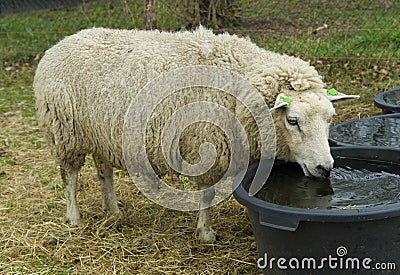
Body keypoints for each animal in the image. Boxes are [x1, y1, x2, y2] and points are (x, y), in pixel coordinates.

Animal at [35, 27, 360, 244]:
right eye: (292, 121)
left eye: (330, 119)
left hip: (100, 132)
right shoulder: (205, 144)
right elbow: (207, 193)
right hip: (65, 131)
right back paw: (74, 218)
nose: (325, 168)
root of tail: (61, 43)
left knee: (104, 171)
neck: (241, 81)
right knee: (70, 176)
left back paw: (113, 211)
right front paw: (205, 233)